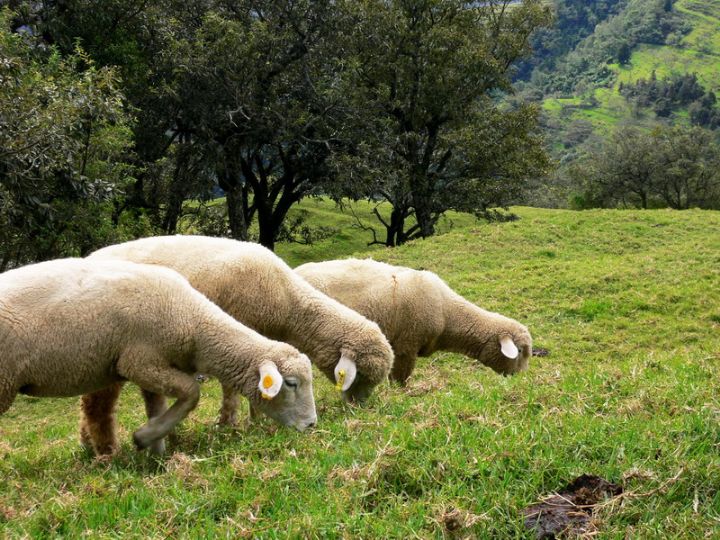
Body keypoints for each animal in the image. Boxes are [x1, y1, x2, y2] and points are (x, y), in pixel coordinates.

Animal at [0, 258, 316, 456]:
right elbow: (192, 393)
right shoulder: (141, 361)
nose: (312, 425)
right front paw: (143, 438)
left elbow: (158, 406)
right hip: (4, 381)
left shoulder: (152, 368)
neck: (194, 320)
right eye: (291, 384)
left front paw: (156, 450)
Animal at [87, 234, 396, 428]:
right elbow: (234, 386)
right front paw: (233, 423)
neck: (288, 303)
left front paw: (255, 418)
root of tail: (92, 255)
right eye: (362, 375)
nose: (358, 409)